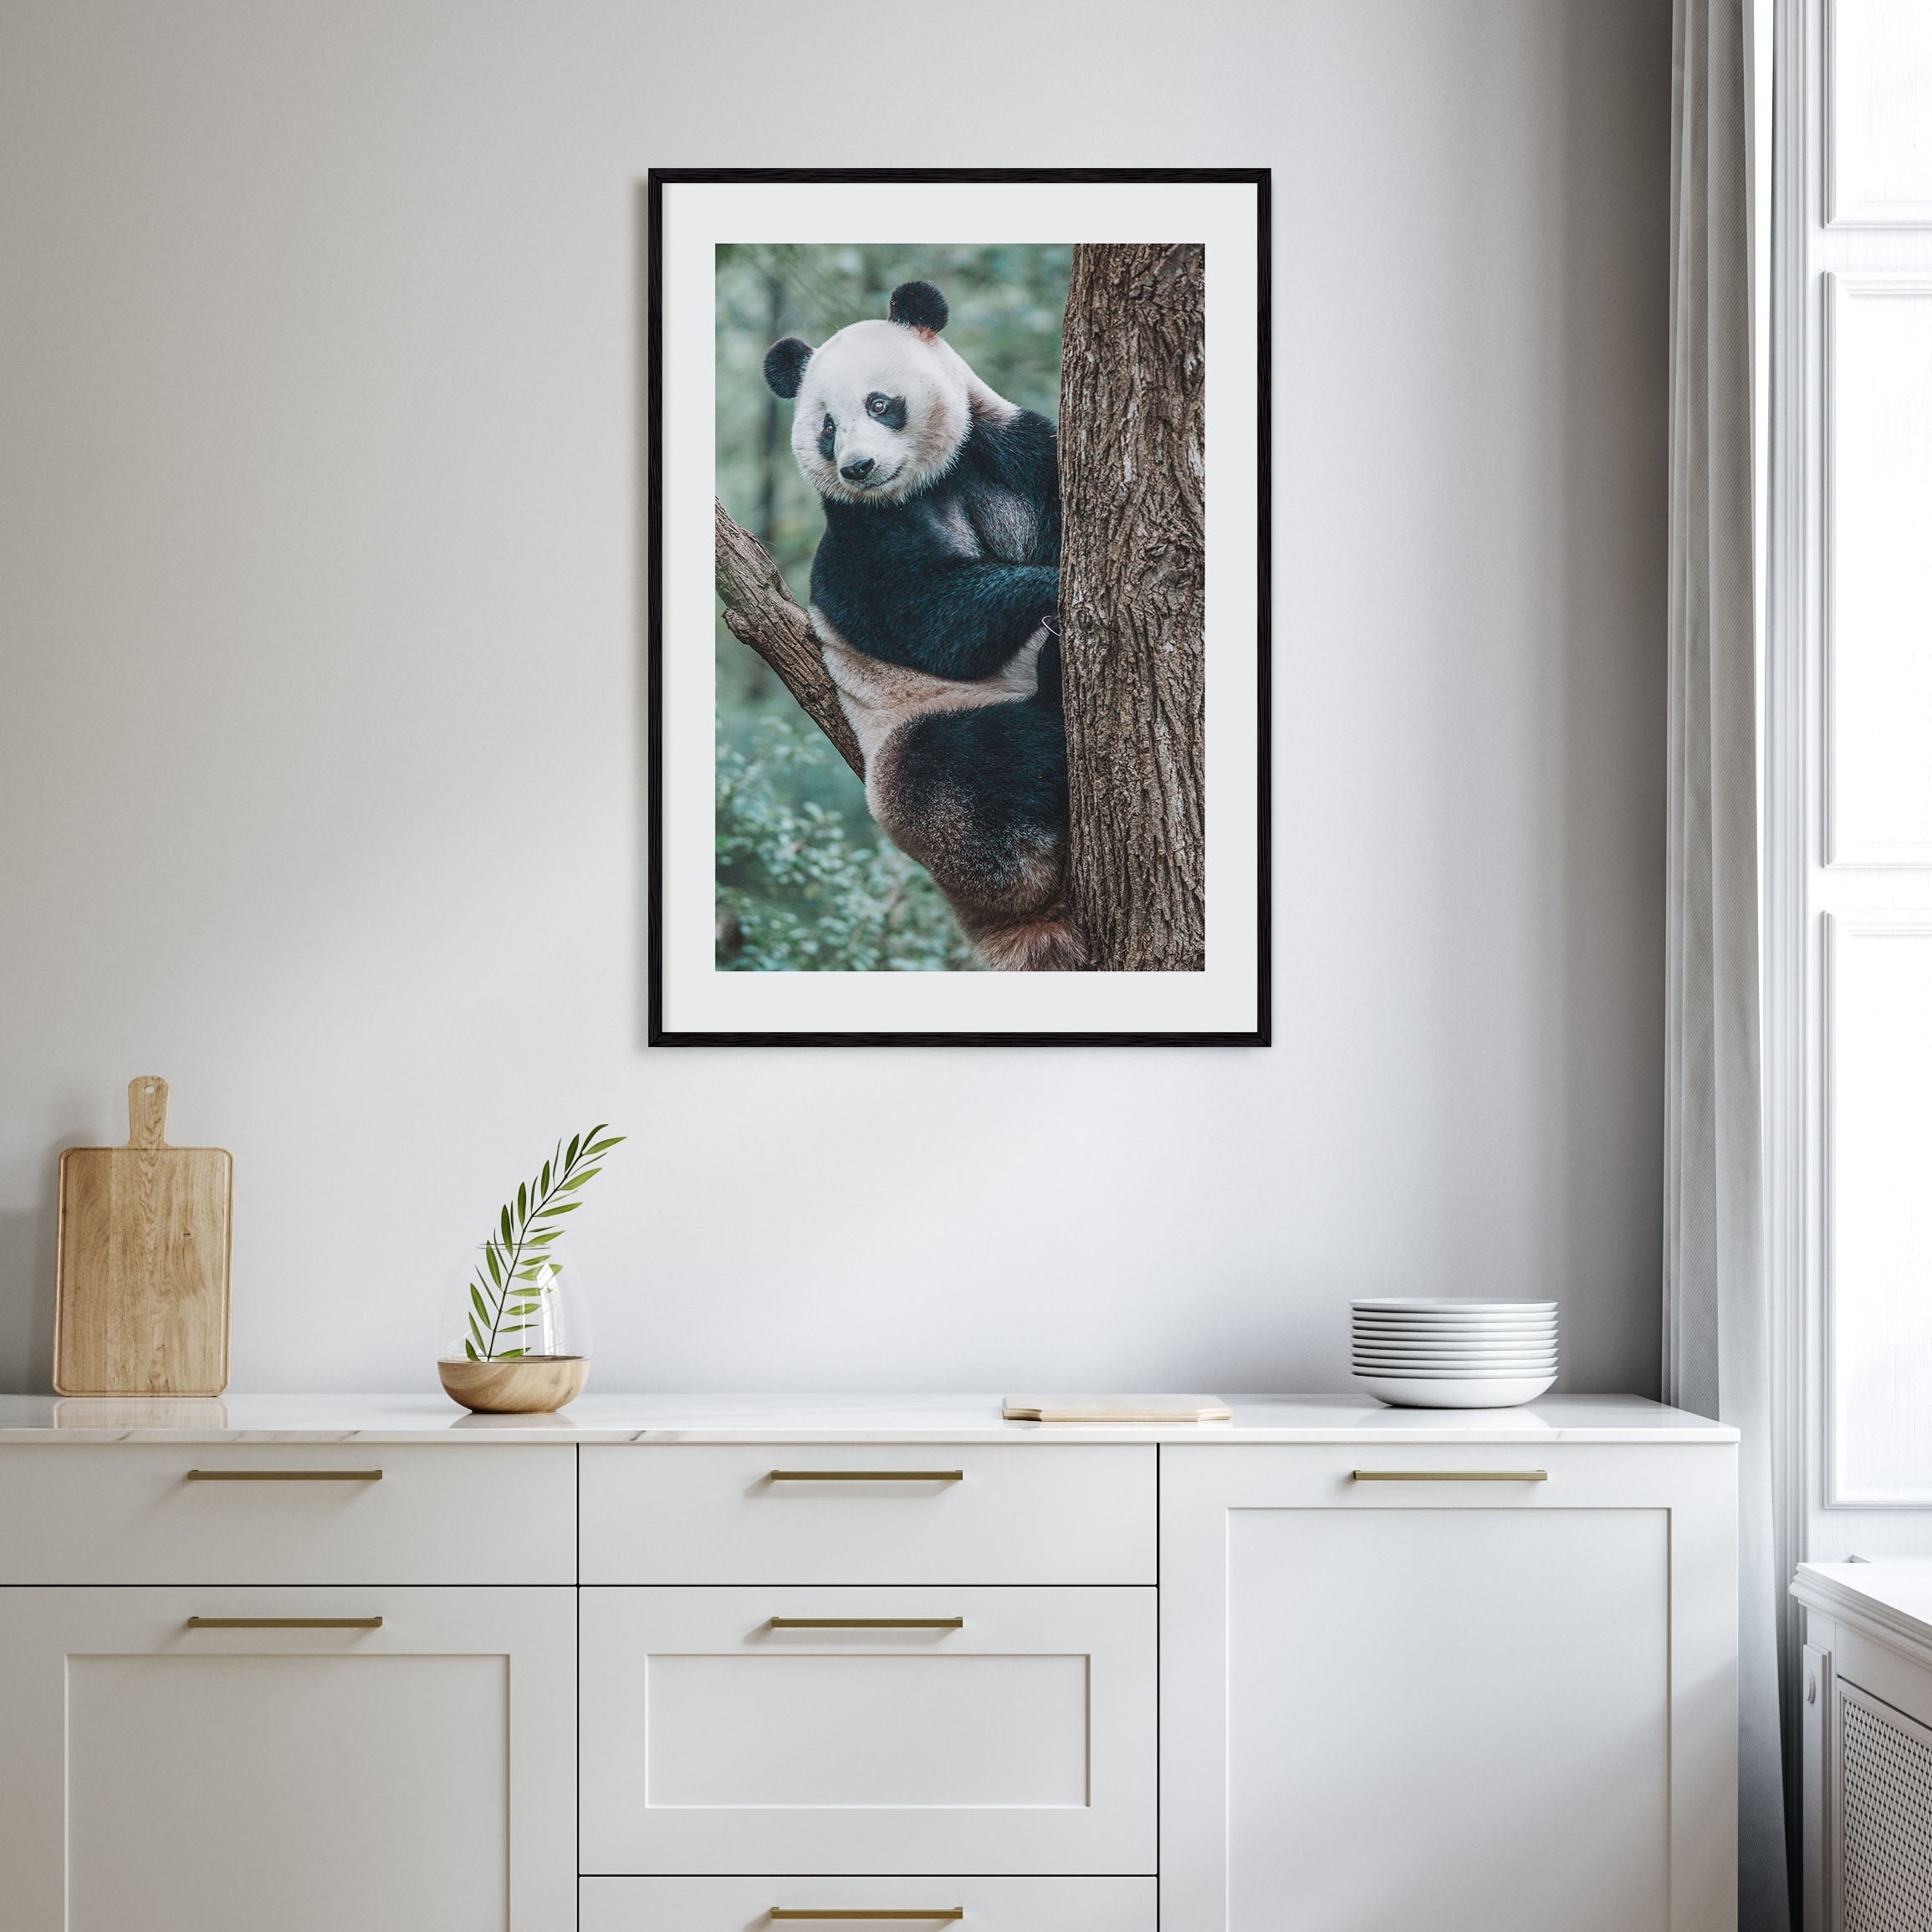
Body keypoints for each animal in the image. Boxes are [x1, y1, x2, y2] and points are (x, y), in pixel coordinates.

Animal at [762, 280, 1082, 972]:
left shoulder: (1014, 454)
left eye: (880, 404)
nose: (857, 467)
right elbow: (931, 616)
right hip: (912, 758)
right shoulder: (857, 540)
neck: (931, 482)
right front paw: (1051, 587)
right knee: (973, 766)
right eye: (828, 428)